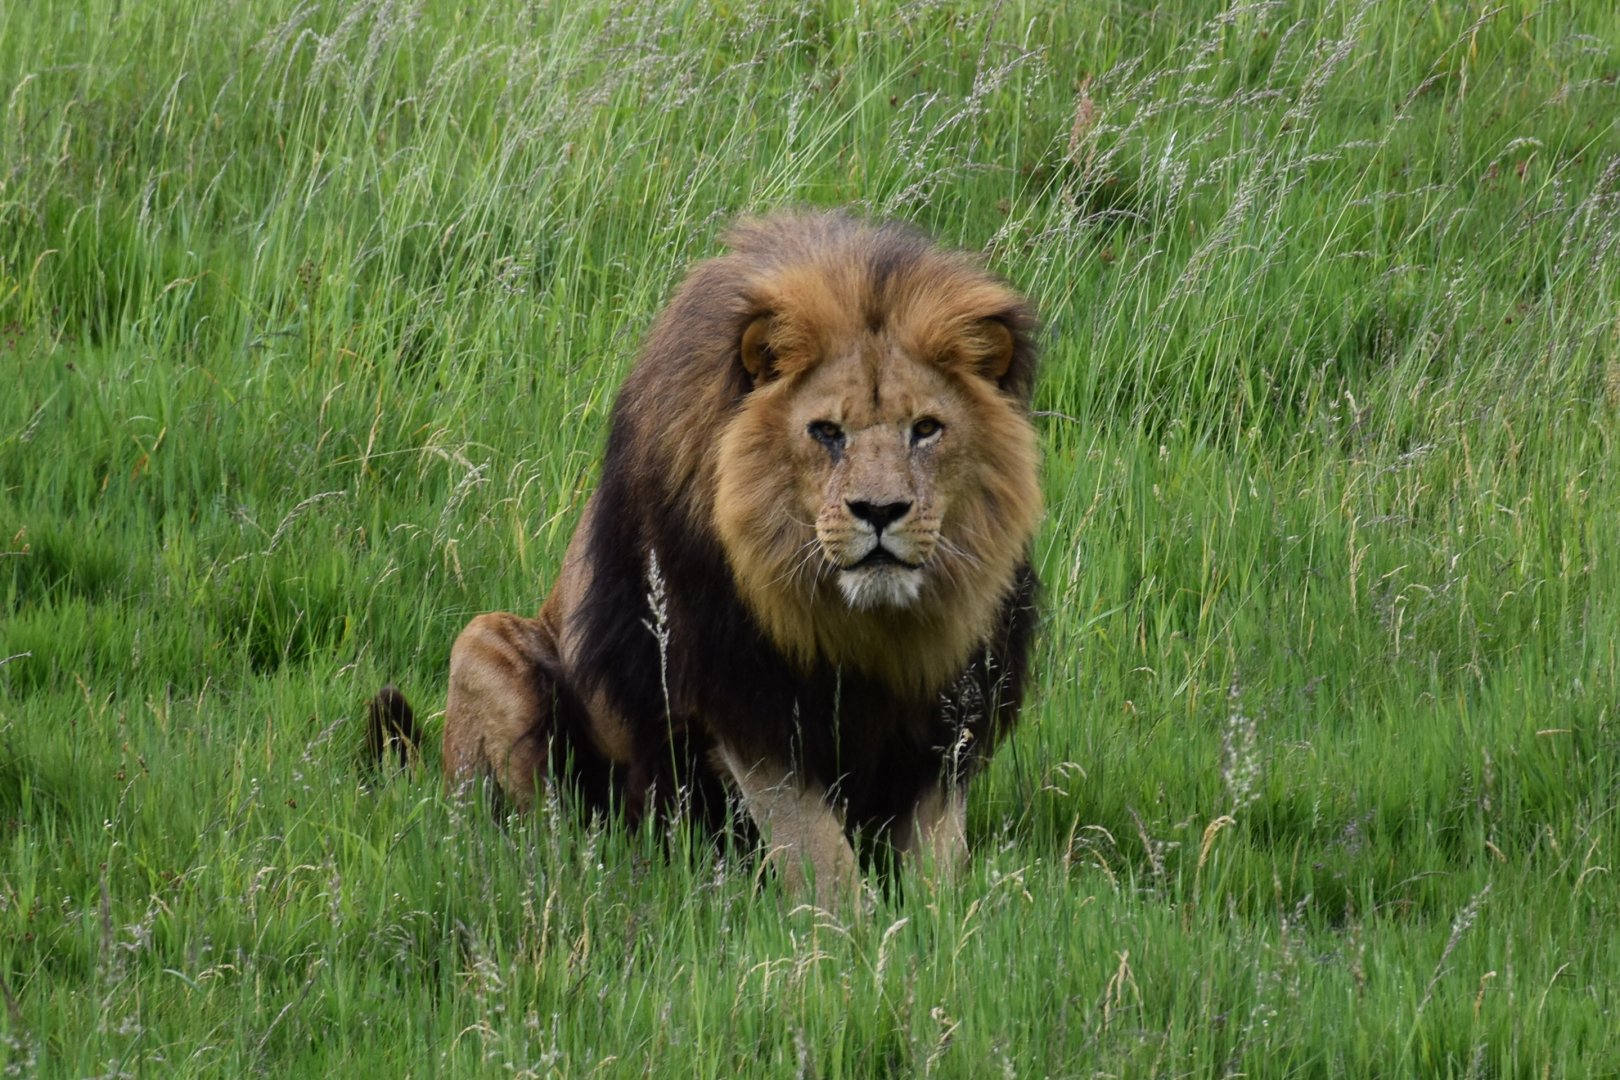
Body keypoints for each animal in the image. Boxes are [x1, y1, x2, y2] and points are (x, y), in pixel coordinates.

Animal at [371, 211, 1042, 906]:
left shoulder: (953, 709)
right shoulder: (747, 699)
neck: (866, 626)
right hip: (488, 647)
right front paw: (852, 925)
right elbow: (818, 849)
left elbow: (940, 851)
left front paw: (946, 916)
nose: (879, 511)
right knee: (522, 831)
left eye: (927, 429)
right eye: (826, 432)